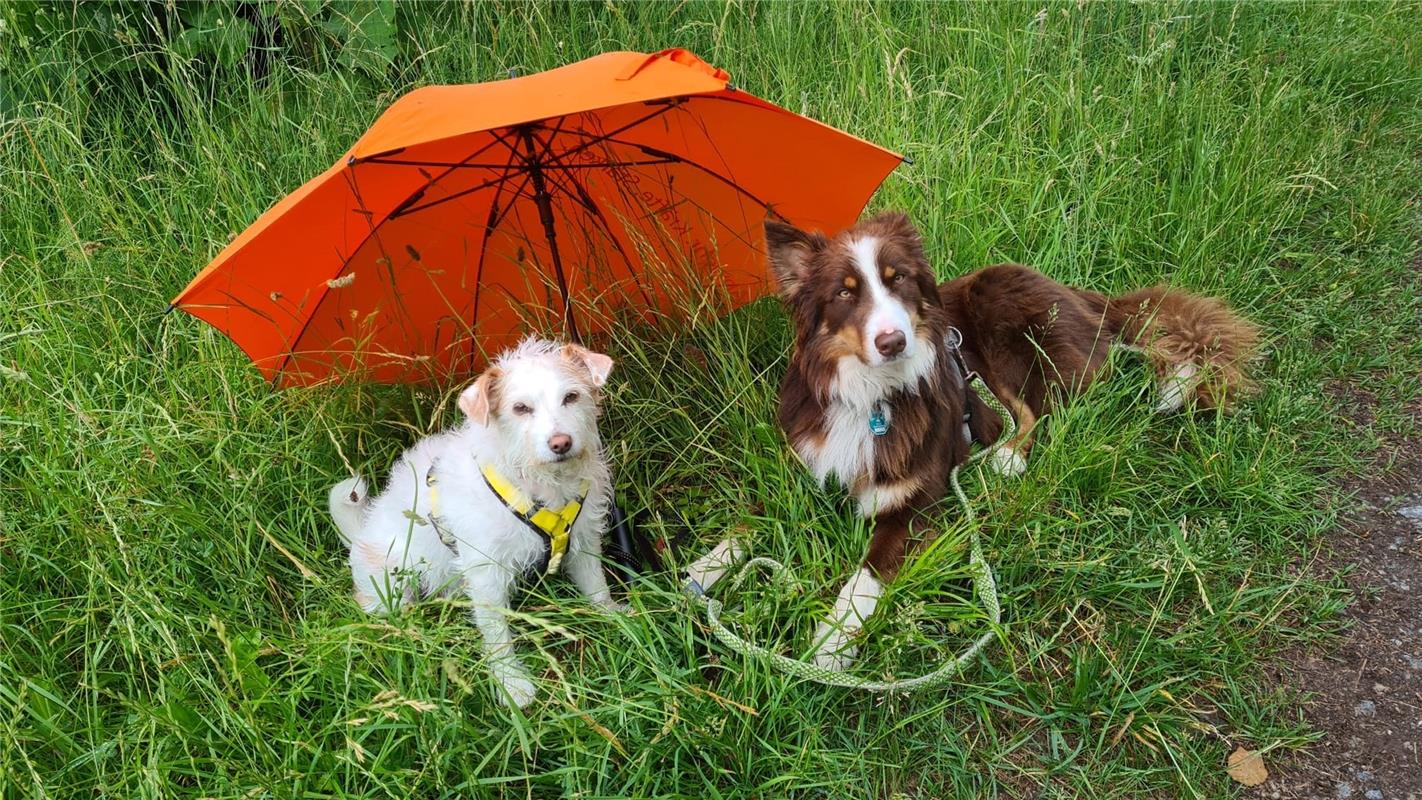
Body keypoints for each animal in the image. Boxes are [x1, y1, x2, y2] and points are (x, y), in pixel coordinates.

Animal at [335, 338, 625, 707]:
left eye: (571, 397)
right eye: (520, 408)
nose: (560, 443)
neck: (539, 486)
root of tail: (360, 535)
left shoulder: (583, 542)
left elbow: (596, 586)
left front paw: (615, 617)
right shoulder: (486, 572)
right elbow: (497, 634)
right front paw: (511, 682)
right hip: (392, 584)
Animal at [767, 213, 1257, 670]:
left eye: (898, 278)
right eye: (844, 294)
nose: (893, 342)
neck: (872, 396)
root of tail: (1084, 296)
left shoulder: (916, 505)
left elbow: (864, 579)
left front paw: (830, 645)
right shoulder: (804, 471)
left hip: (1002, 326)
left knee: (1042, 410)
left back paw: (1006, 458)